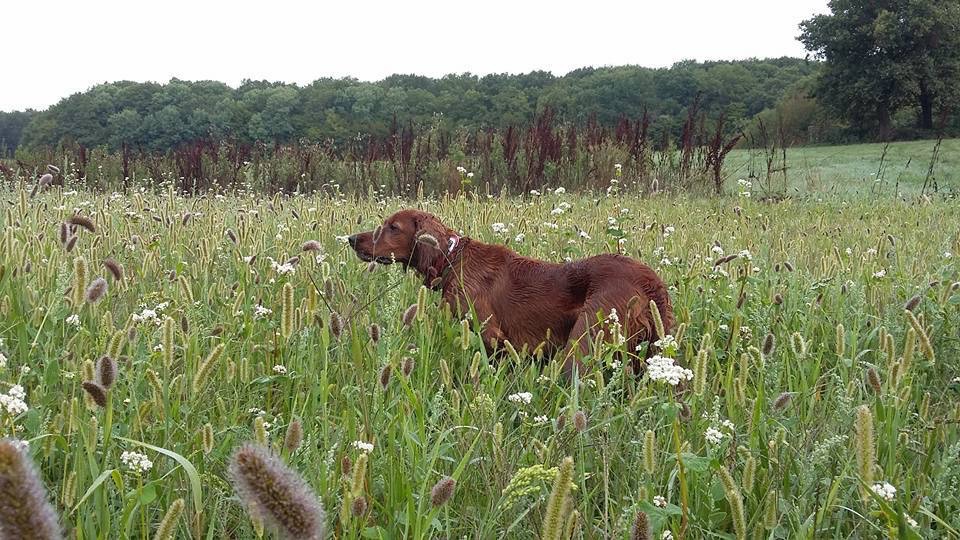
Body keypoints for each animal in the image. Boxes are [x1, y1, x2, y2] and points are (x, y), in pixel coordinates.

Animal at [346, 208, 676, 376]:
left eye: (393, 227)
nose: (351, 239)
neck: (453, 258)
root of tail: (651, 282)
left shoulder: (491, 336)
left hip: (583, 344)